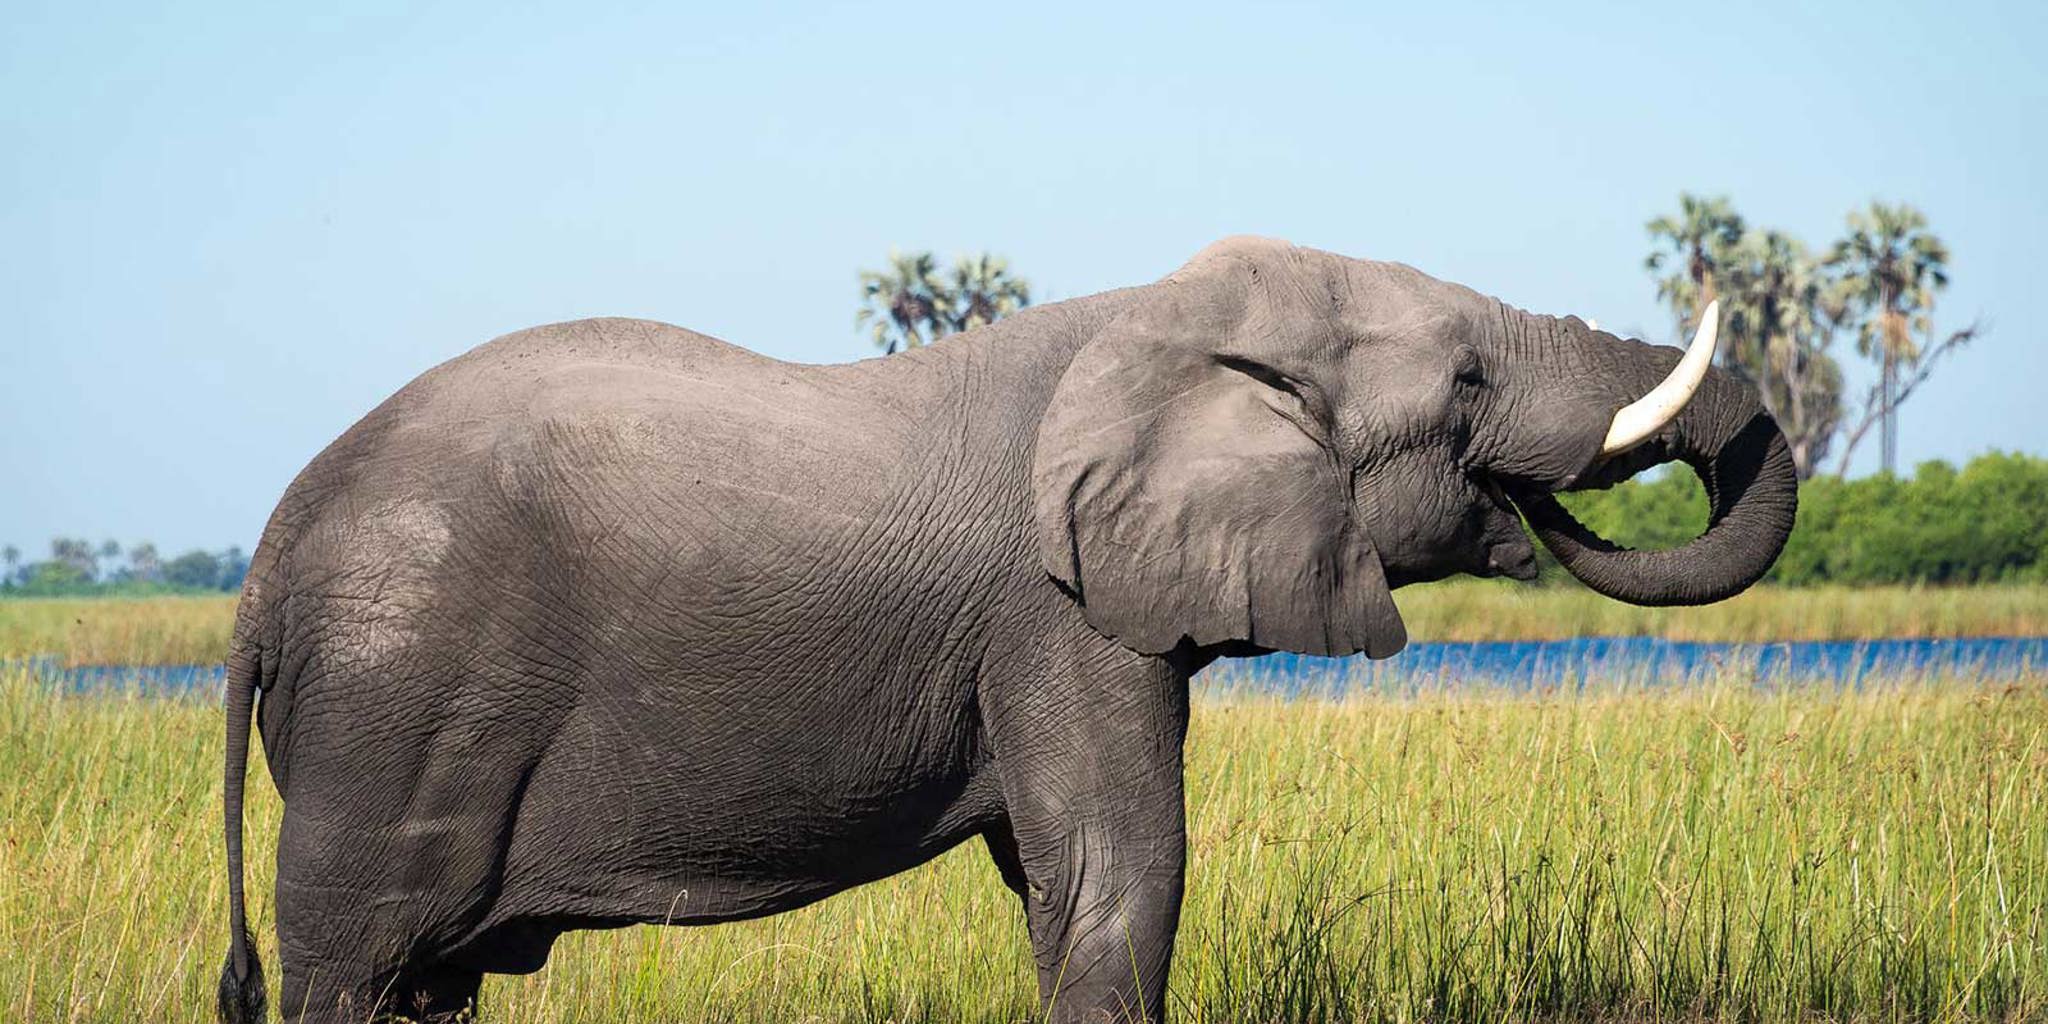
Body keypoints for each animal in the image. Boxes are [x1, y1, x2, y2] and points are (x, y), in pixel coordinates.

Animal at [217, 236, 1796, 1023]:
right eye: (1466, 381)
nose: (1530, 514)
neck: (1159, 315)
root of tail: (266, 555)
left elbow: (1056, 877)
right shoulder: (1054, 611)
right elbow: (1118, 867)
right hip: (396, 698)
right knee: (354, 965)